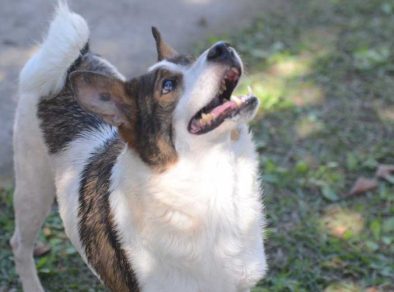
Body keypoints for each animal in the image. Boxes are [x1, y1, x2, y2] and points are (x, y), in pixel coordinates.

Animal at [10, 2, 268, 292]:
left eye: (192, 59)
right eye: (167, 85)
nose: (222, 48)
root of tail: (75, 60)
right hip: (32, 191)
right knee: (19, 245)